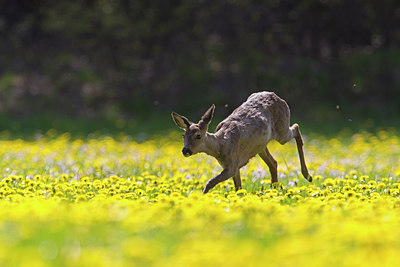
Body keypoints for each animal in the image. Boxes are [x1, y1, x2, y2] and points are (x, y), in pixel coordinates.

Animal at [170, 92, 310, 195]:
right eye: (183, 135)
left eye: (198, 135)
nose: (185, 150)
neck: (221, 145)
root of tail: (277, 96)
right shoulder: (235, 166)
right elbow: (238, 188)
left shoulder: (232, 165)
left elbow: (210, 182)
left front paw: (202, 198)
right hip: (261, 146)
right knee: (273, 162)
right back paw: (274, 188)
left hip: (282, 130)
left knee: (296, 128)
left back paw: (307, 175)